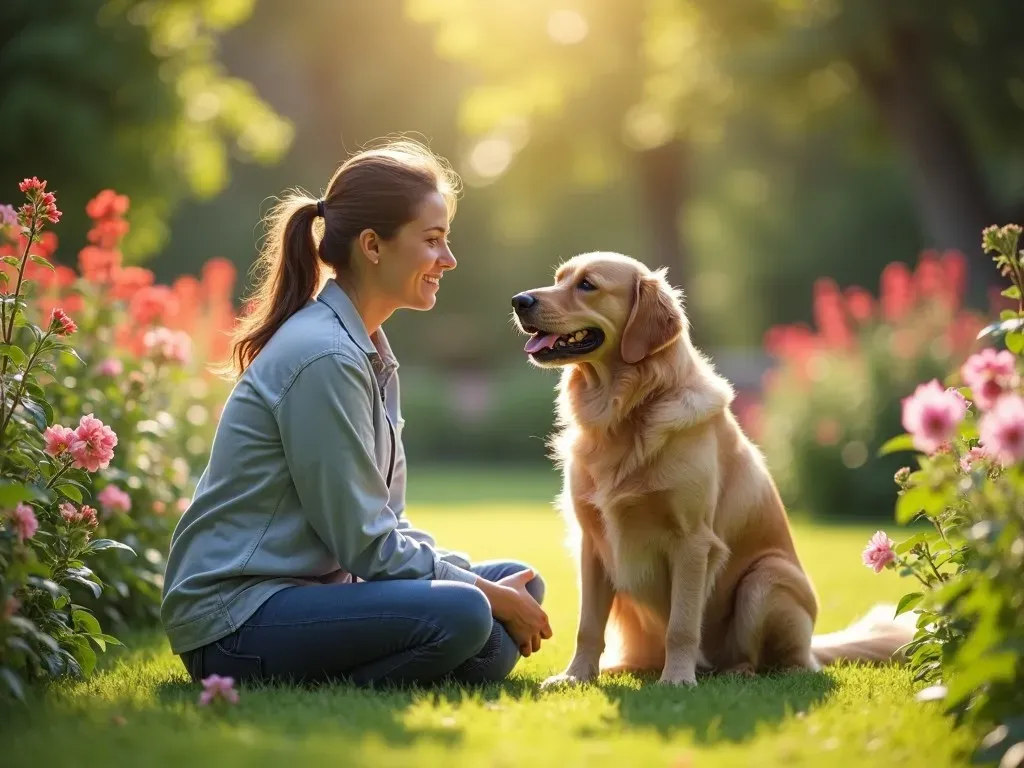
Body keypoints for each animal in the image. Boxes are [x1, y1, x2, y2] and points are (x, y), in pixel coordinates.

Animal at [507, 253, 917, 692]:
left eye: (587, 285)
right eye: (559, 279)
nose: (519, 300)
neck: (626, 411)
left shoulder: (693, 541)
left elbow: (682, 625)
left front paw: (676, 679)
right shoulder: (592, 543)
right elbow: (588, 625)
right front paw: (576, 675)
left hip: (765, 579)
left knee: (783, 663)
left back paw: (737, 672)